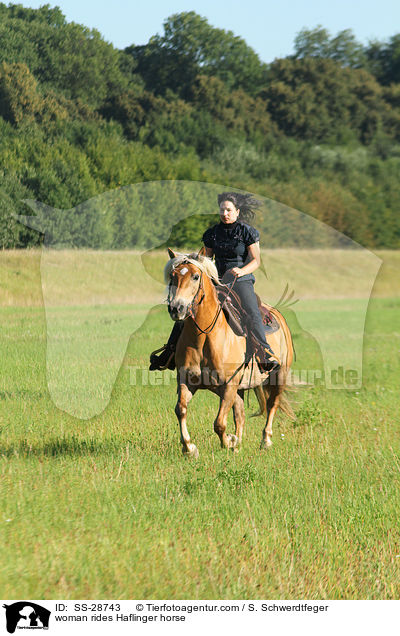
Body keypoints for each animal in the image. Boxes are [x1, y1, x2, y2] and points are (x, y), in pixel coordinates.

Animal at [163, 248, 294, 458]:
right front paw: (189, 448)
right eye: (172, 276)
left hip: (278, 375)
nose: (177, 308)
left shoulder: (229, 385)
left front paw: (229, 442)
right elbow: (181, 410)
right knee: (240, 414)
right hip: (240, 388)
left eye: (195, 276)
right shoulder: (187, 381)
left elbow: (219, 423)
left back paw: (265, 441)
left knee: (272, 404)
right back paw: (239, 443)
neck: (204, 336)